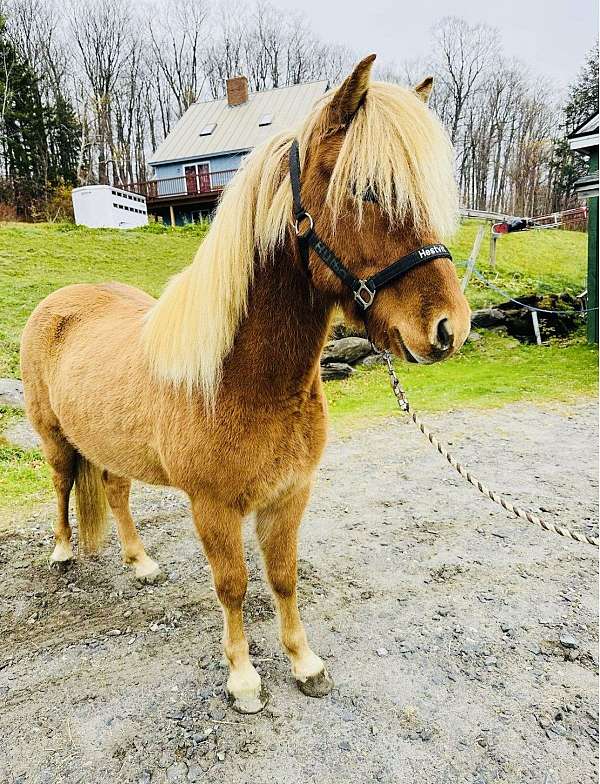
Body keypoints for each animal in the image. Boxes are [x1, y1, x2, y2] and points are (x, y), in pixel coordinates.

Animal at [20, 54, 471, 713]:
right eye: (365, 190)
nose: (449, 328)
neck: (243, 383)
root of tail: (57, 304)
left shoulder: (289, 494)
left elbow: (283, 577)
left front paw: (305, 664)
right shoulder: (213, 506)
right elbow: (232, 585)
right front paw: (243, 679)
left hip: (110, 445)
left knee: (117, 493)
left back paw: (140, 563)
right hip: (54, 438)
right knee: (59, 487)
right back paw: (60, 552)